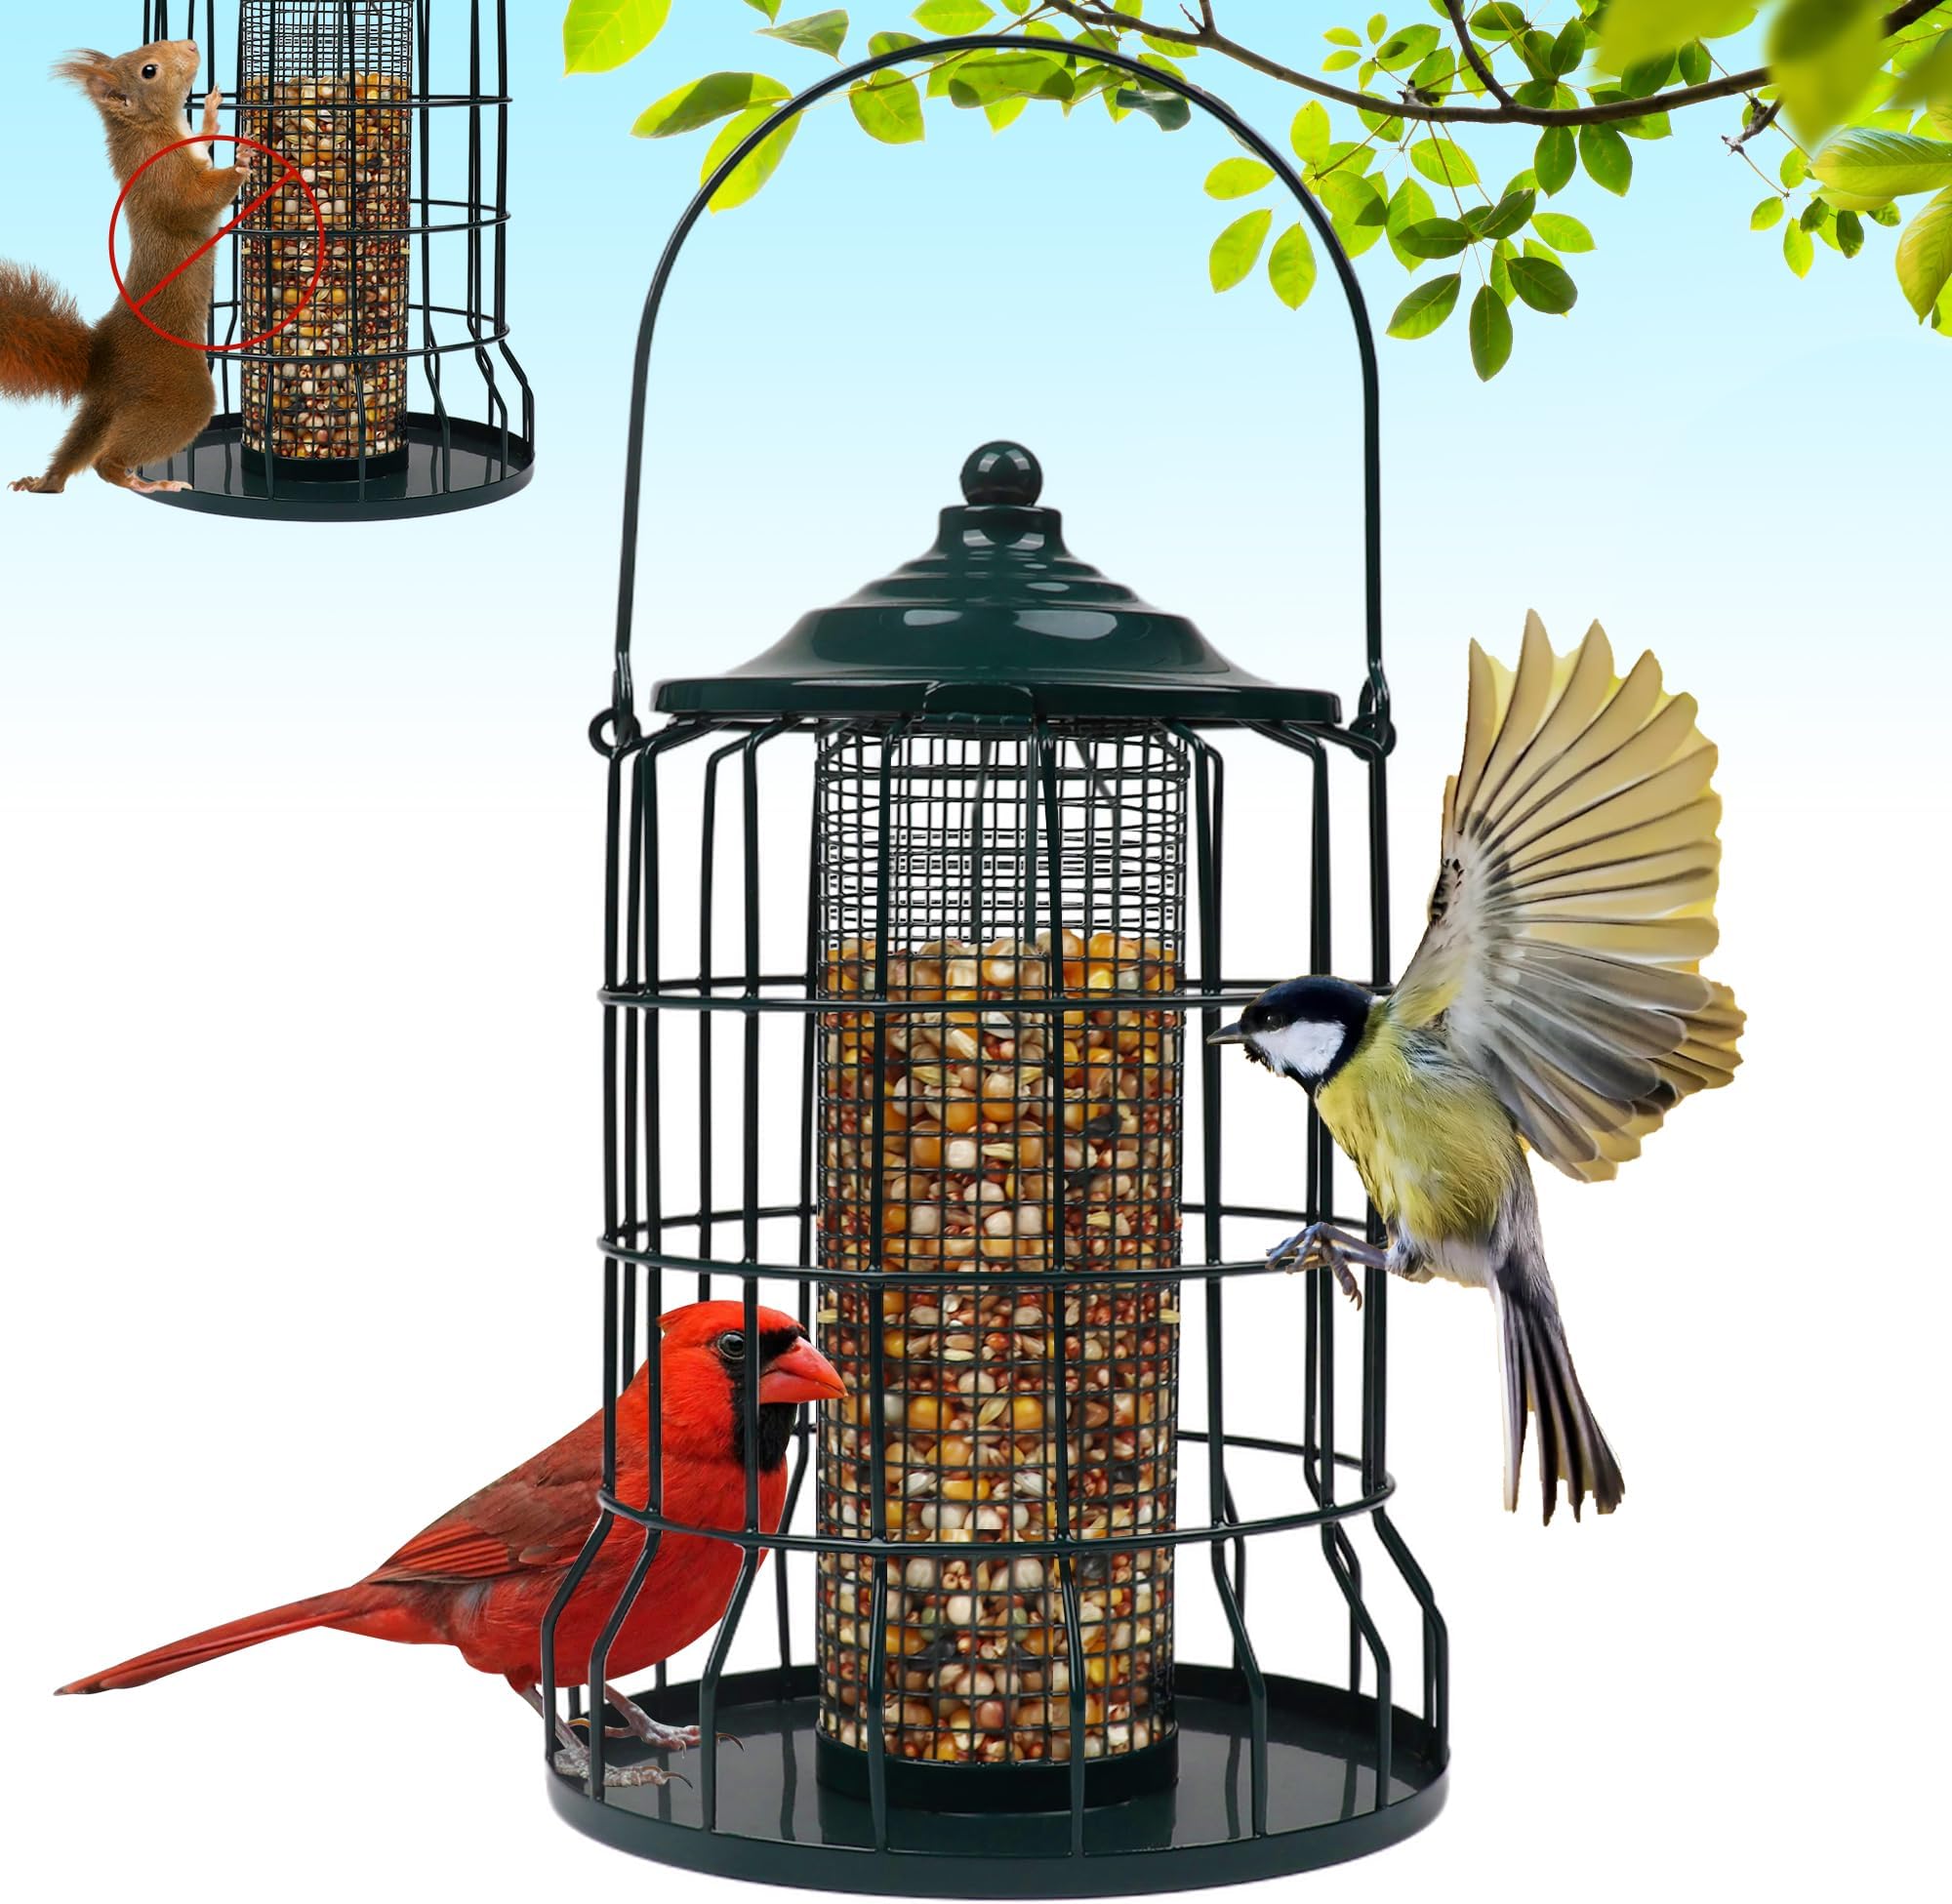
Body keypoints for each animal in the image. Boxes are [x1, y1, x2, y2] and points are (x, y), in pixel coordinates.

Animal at [0, 41, 243, 496]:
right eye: (149, 70)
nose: (192, 45)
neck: (152, 129)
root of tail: (103, 356)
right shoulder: (163, 178)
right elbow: (194, 203)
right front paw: (243, 159)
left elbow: (204, 145)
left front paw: (212, 109)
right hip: (178, 391)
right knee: (105, 462)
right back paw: (147, 482)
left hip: (103, 407)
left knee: (76, 449)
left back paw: (42, 481)